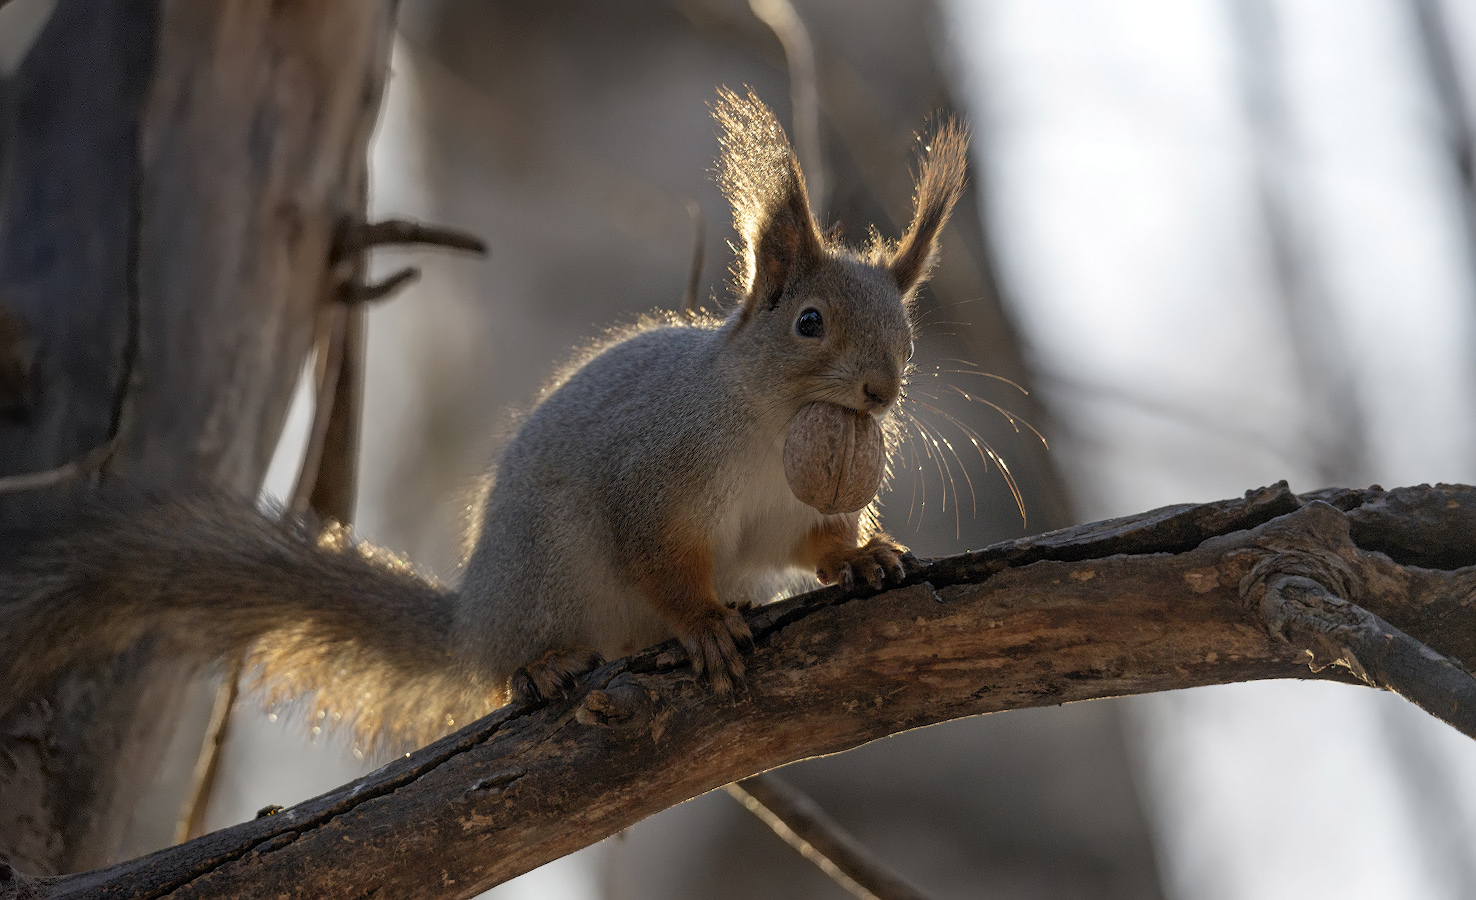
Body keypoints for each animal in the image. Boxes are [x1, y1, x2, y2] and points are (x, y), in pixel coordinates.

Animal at [0, 87, 968, 746]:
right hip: (544, 575)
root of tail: (469, 618)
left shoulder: (780, 515)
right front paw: (701, 624)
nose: (882, 391)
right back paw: (540, 665)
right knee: (512, 666)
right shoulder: (652, 473)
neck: (771, 431)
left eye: (906, 333)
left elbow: (804, 544)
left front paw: (863, 555)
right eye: (809, 323)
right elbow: (657, 557)